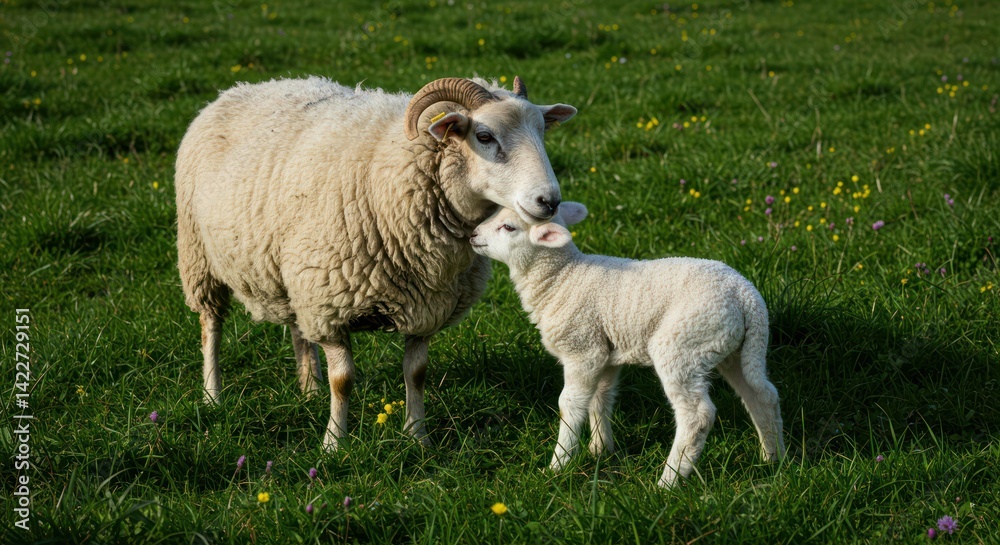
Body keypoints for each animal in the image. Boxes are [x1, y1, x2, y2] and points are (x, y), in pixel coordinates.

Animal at [175, 76, 578, 450]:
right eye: (484, 135)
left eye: (542, 130)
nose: (549, 201)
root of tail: (238, 88)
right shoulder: (328, 304)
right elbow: (344, 380)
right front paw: (334, 444)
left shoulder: (427, 306)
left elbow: (416, 373)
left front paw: (418, 436)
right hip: (198, 256)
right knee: (211, 325)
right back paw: (213, 396)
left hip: (287, 272)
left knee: (297, 330)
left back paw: (310, 389)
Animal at [469, 202, 785, 487]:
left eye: (508, 227)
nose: (473, 235)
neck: (561, 278)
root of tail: (746, 296)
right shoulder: (605, 353)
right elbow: (600, 399)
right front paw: (600, 450)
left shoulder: (581, 348)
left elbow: (570, 405)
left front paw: (559, 464)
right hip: (736, 349)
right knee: (762, 395)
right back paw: (773, 458)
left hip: (682, 346)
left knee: (697, 416)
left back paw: (668, 481)